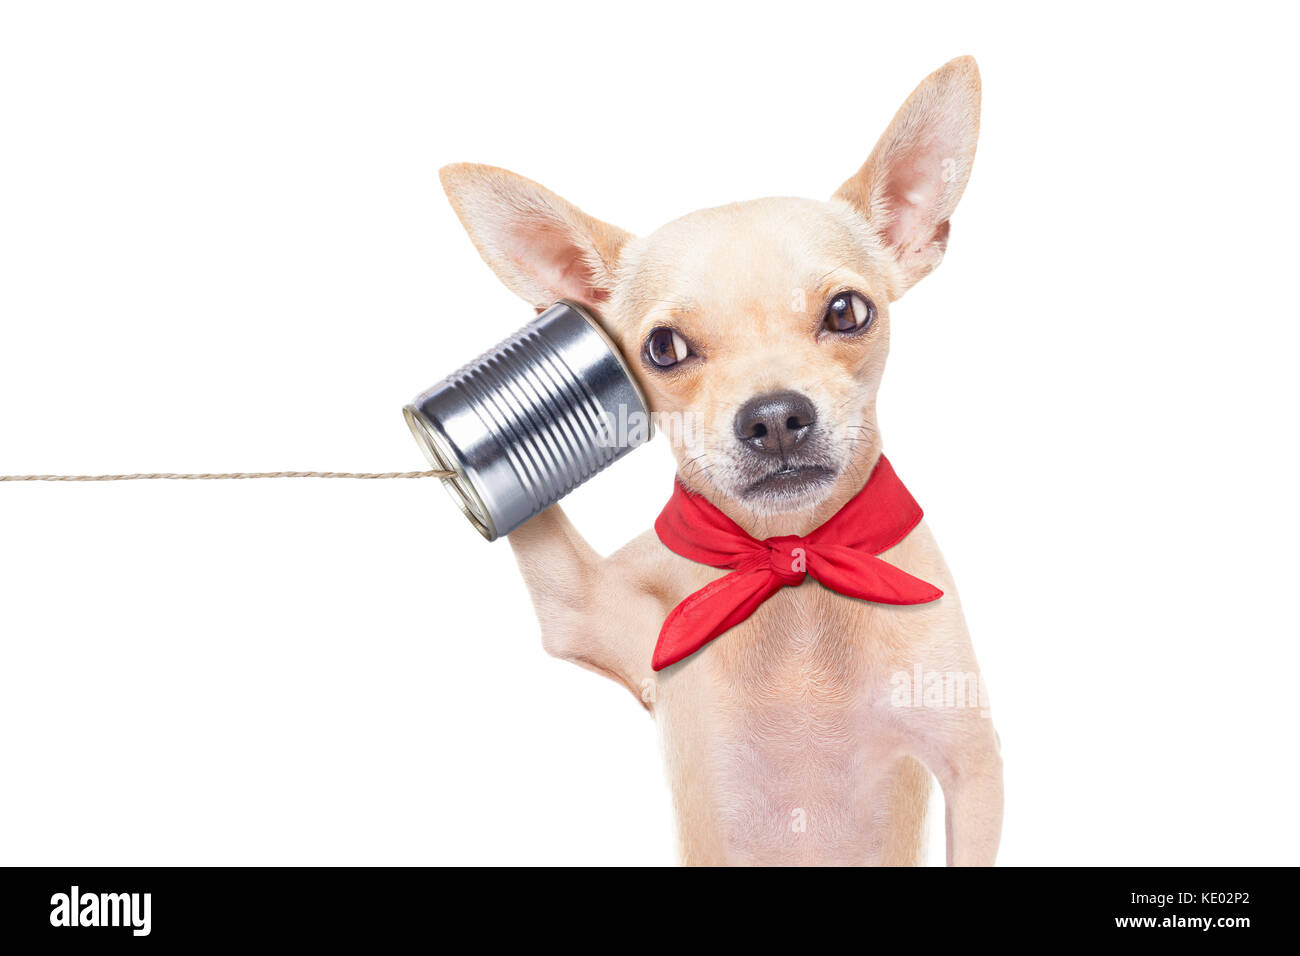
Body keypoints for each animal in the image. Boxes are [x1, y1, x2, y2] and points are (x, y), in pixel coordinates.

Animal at [441, 57, 998, 868]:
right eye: (663, 348)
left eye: (848, 312)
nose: (775, 418)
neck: (790, 565)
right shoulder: (583, 611)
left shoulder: (970, 764)